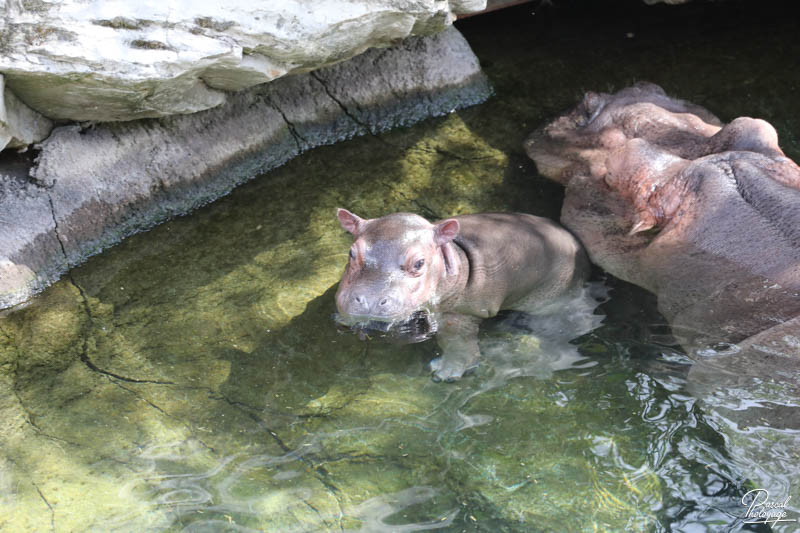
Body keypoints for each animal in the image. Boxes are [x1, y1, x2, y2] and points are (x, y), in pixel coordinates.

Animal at [334, 209, 592, 382]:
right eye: (351, 252)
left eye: (419, 263)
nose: (369, 301)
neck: (451, 256)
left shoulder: (460, 312)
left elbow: (456, 339)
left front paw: (445, 372)